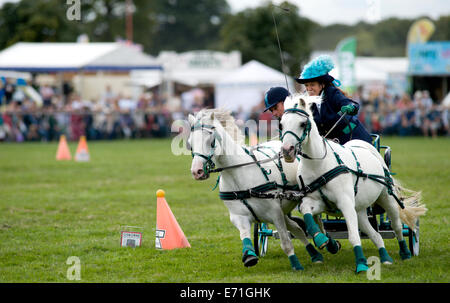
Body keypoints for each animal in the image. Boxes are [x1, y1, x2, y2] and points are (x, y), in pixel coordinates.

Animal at [187, 108, 324, 270]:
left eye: (211, 140)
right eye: (190, 144)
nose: (197, 171)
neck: (237, 175)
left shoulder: (275, 213)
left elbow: (286, 242)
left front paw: (296, 265)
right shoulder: (239, 216)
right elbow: (244, 236)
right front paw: (249, 256)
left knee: (313, 221)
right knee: (297, 228)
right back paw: (315, 254)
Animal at [280, 94, 428, 274]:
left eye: (302, 124)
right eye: (281, 124)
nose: (287, 151)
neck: (319, 164)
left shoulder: (345, 203)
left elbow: (353, 236)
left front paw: (361, 264)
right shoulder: (319, 202)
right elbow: (308, 213)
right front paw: (323, 239)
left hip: (386, 199)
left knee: (397, 226)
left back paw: (405, 252)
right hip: (360, 210)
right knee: (375, 234)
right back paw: (385, 257)